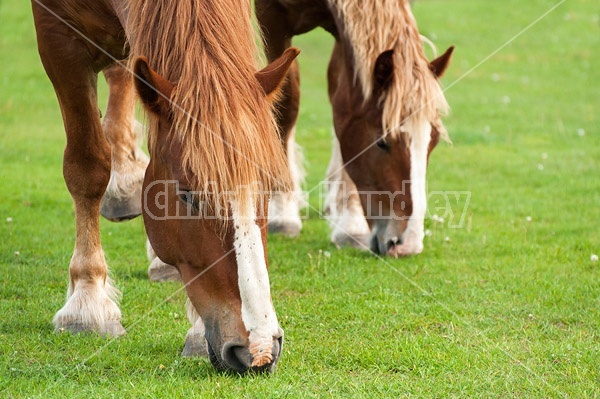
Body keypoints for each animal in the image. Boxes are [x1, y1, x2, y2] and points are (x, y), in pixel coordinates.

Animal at [30, 0, 298, 376]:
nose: (259, 350)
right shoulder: (58, 36)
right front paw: (87, 301)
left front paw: (197, 331)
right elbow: (87, 165)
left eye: (269, 190)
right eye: (187, 195)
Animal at [254, 0, 454, 256]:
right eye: (382, 142)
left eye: (433, 141)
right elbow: (285, 104)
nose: (406, 244)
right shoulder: (272, 18)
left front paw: (351, 223)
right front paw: (282, 212)